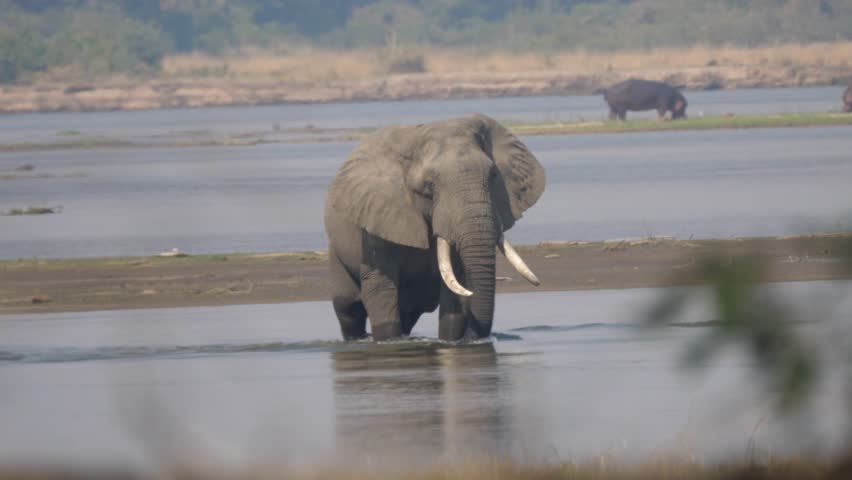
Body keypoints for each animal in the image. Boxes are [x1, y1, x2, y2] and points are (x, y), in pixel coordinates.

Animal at [324, 114, 545, 342]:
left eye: (493, 175)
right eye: (429, 185)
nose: (475, 336)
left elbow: (454, 294)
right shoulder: (377, 220)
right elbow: (380, 289)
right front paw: (390, 342)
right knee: (349, 308)